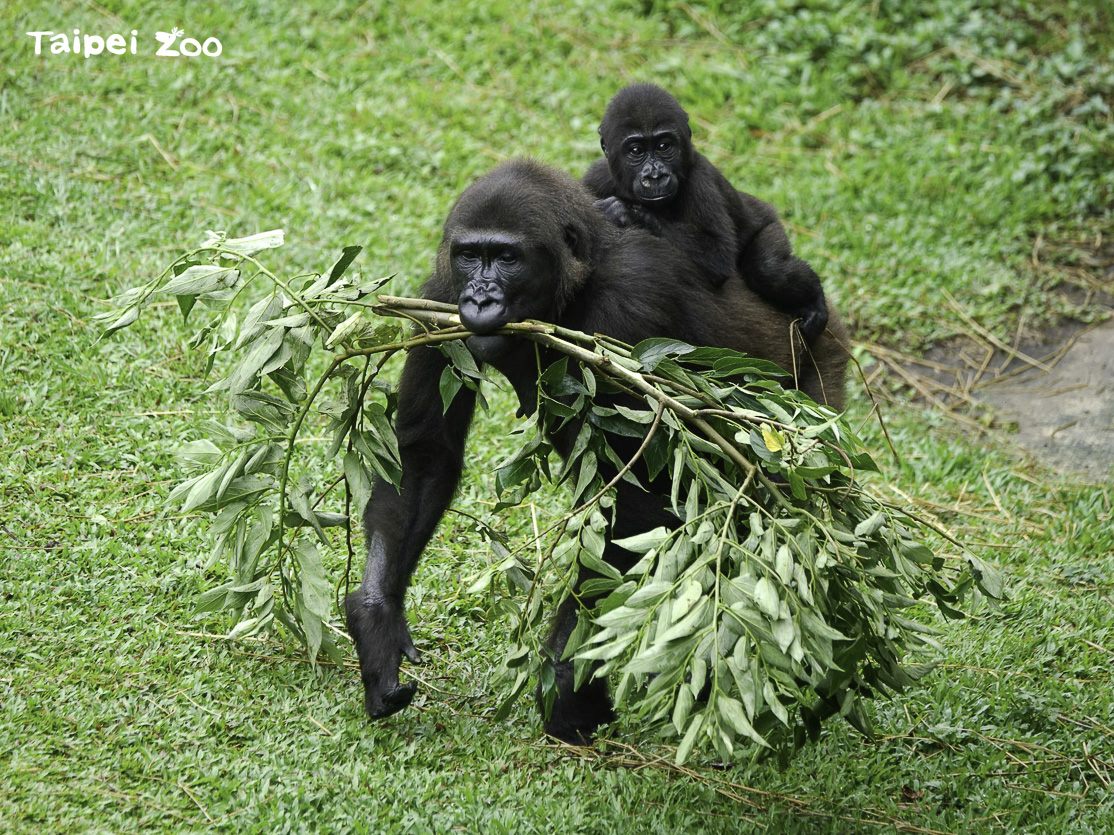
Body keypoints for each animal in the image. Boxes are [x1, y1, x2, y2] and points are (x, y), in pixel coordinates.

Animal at [343, 160, 846, 743]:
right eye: (471, 255)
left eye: (508, 258)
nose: (482, 298)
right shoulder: (440, 293)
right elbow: (426, 455)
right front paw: (376, 620)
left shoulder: (629, 311)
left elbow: (637, 505)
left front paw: (566, 679)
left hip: (810, 390)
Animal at [588, 84, 833, 342]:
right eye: (636, 150)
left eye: (664, 146)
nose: (655, 175)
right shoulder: (597, 176)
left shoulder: (700, 179)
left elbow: (717, 256)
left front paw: (627, 212)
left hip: (771, 225)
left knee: (770, 270)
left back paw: (815, 300)